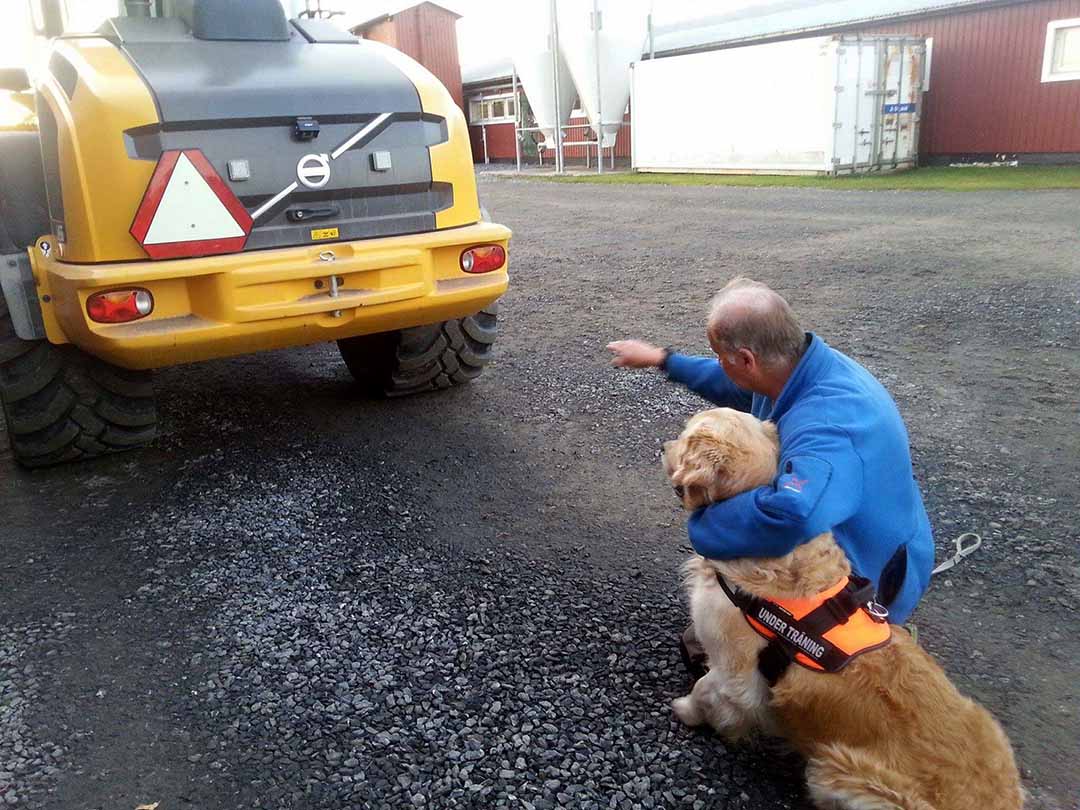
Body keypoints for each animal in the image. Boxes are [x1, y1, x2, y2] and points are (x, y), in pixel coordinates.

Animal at [660, 408, 1023, 810]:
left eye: (685, 436)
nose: (663, 447)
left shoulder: (734, 669)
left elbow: (707, 688)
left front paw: (686, 710)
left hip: (837, 771)